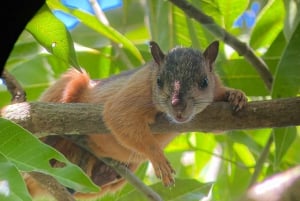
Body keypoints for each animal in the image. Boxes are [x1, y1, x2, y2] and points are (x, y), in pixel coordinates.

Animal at [25, 40, 246, 199]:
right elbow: (118, 115)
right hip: (69, 85)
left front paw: (236, 95)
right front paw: (158, 158)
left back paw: (104, 172)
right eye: (159, 81)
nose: (178, 106)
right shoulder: (137, 88)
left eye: (204, 82)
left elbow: (218, 127)